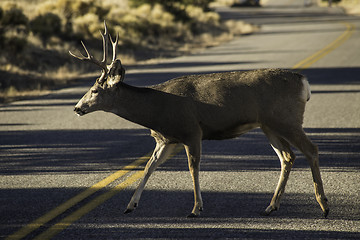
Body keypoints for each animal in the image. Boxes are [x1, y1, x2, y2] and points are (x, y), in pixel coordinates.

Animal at [70, 22, 330, 218]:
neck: (156, 109)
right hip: (269, 125)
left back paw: (324, 205)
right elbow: (148, 167)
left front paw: (196, 208)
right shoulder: (165, 139)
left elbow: (192, 168)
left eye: (94, 90)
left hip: (287, 119)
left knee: (311, 149)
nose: (77, 108)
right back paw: (271, 206)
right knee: (287, 156)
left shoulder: (192, 131)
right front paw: (130, 205)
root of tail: (303, 82)